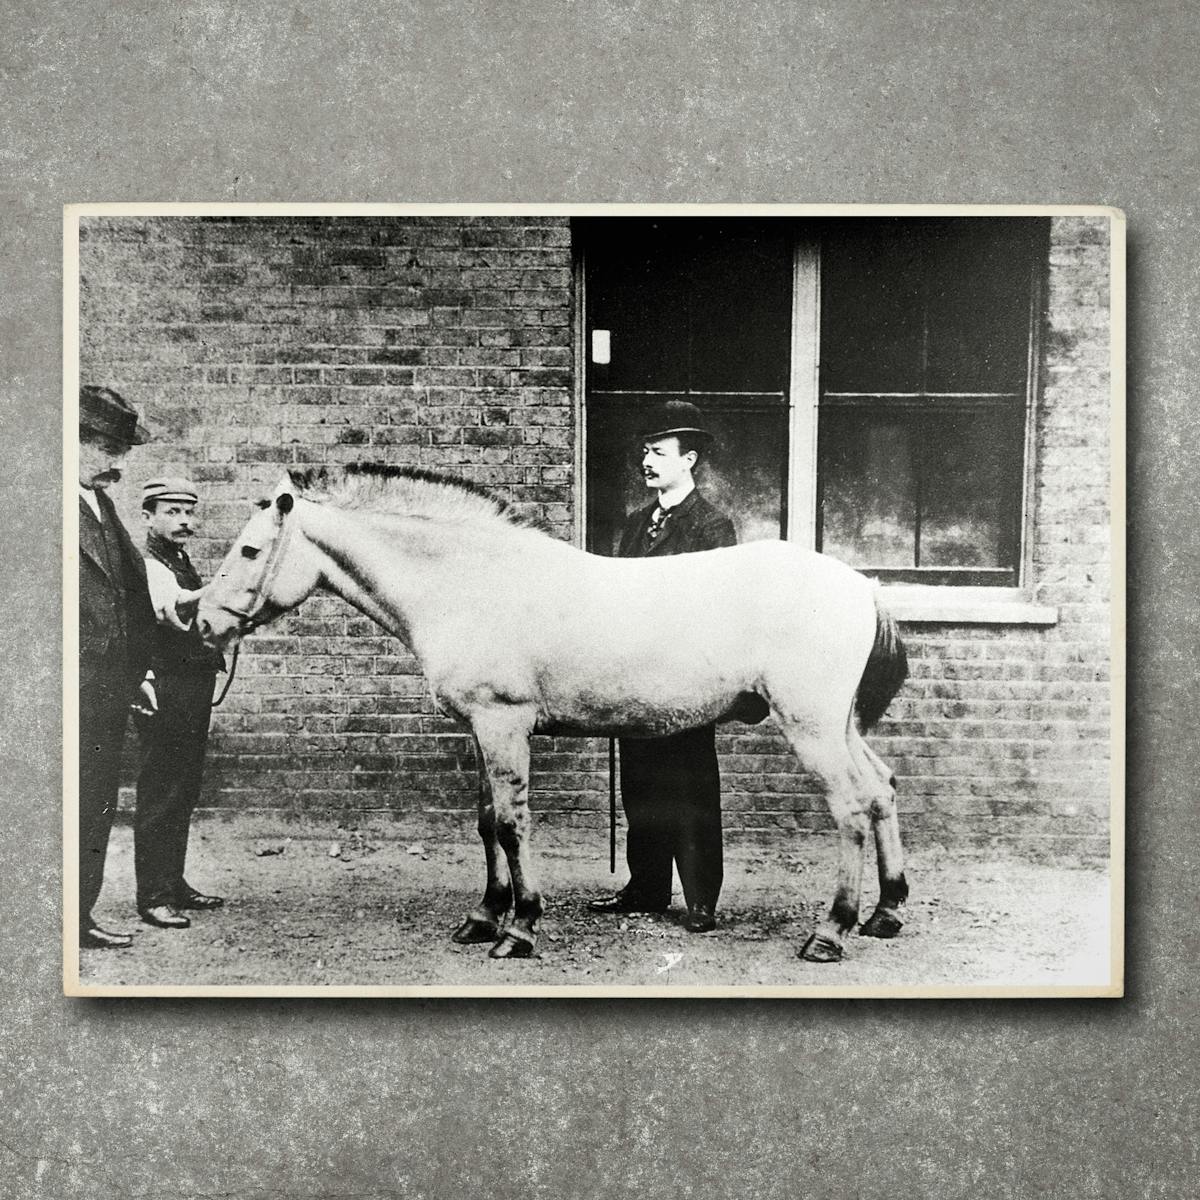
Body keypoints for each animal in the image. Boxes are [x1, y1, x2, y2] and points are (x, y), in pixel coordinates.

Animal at [196, 464, 910, 963]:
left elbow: (513, 826)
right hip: (842, 725)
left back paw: (831, 932)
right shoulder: (480, 730)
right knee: (880, 789)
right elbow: (487, 822)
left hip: (811, 727)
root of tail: (860, 583)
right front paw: (482, 917)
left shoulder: (503, 723)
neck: (471, 582)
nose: (199, 620)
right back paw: (886, 912)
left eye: (251, 551)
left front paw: (519, 928)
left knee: (851, 807)